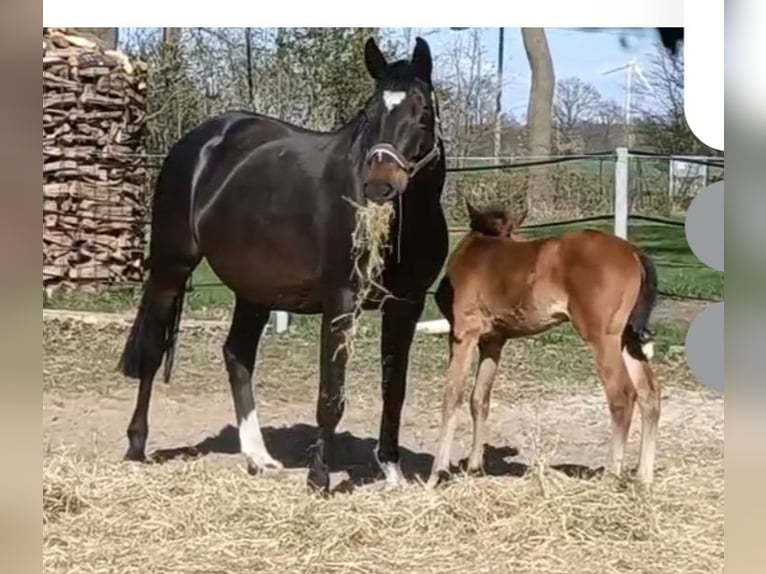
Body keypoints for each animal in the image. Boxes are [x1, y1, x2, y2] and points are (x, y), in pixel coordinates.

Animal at [117, 36, 449, 494]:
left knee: (237, 354)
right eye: (370, 113)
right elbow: (331, 394)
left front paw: (392, 472)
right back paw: (136, 447)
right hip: (171, 267)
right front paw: (319, 478)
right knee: (152, 349)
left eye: (423, 112)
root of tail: (199, 142)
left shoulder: (406, 306)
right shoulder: (341, 302)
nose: (379, 185)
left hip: (253, 290)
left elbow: (393, 391)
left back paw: (259, 458)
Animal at [426, 201, 661, 488]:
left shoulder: (463, 335)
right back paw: (643, 478)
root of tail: (635, 253)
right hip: (627, 339)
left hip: (602, 337)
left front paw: (436, 474)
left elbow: (452, 396)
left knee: (622, 395)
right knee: (649, 393)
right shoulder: (493, 341)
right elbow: (479, 398)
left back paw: (609, 477)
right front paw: (474, 467)